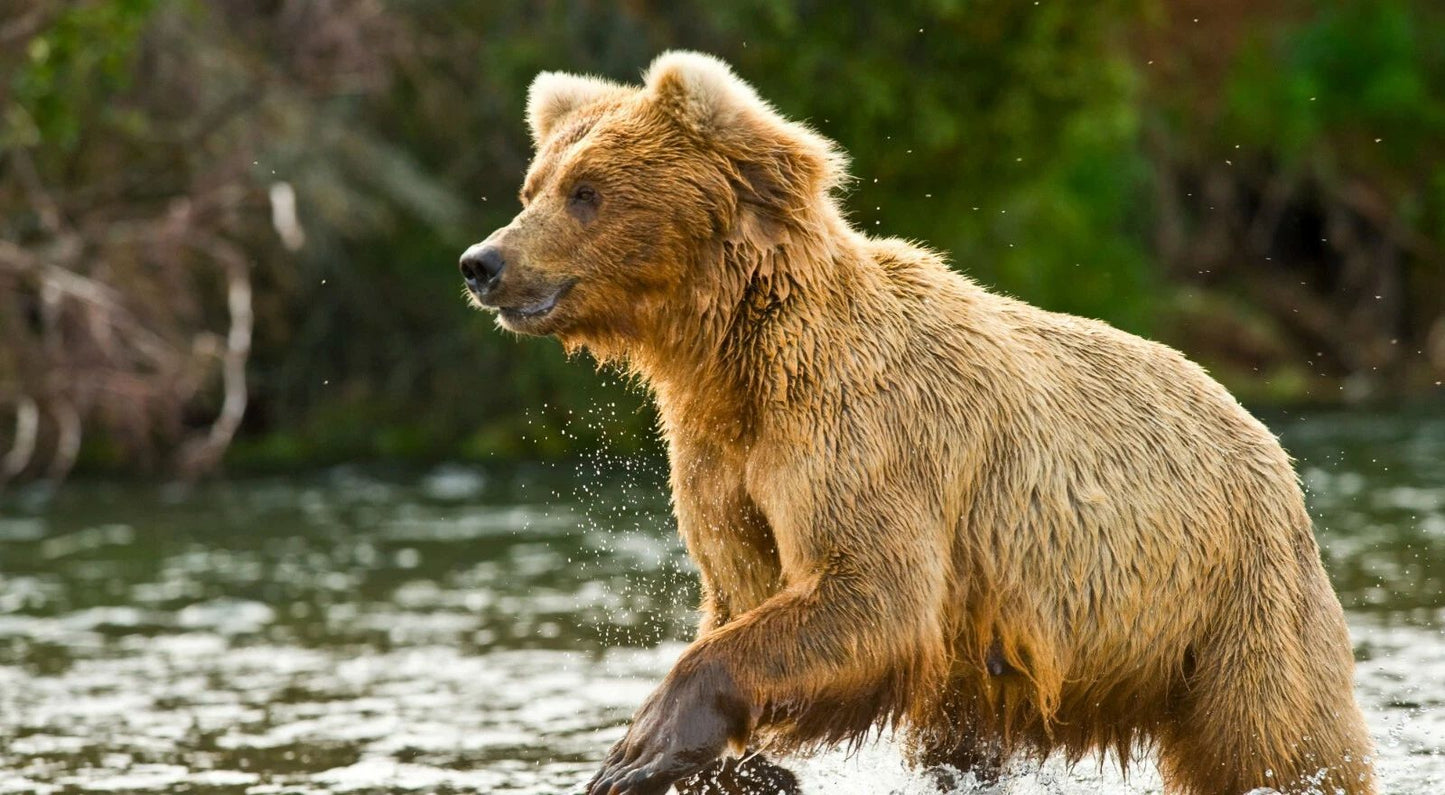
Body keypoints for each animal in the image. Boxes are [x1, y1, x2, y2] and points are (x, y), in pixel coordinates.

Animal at [458, 51, 1376, 795]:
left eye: (587, 192)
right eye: (534, 187)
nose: (482, 262)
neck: (734, 358)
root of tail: (1263, 434)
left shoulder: (864, 434)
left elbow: (872, 591)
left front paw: (641, 746)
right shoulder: (721, 462)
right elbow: (743, 590)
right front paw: (738, 764)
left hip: (1228, 599)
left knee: (1275, 740)